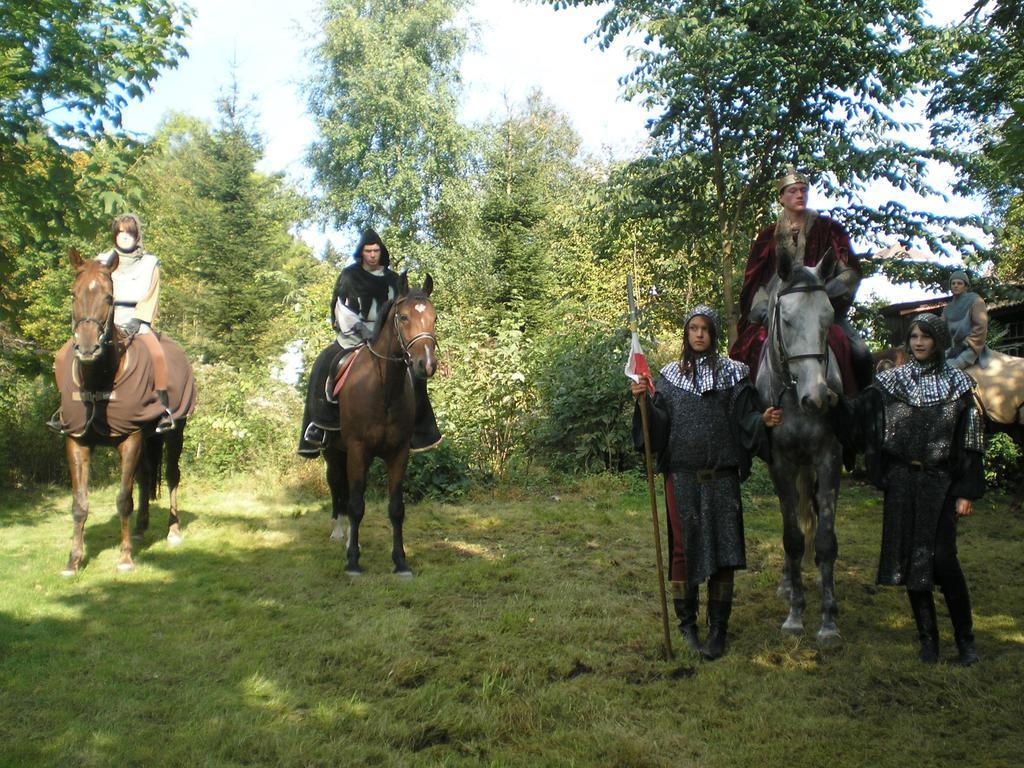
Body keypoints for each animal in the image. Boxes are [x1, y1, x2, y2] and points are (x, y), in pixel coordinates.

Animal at [58, 252, 191, 577]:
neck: (100, 381)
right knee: (145, 478)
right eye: (73, 294)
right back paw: (141, 528)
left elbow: (122, 499)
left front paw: (126, 557)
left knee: (172, 475)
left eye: (109, 296)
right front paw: (73, 560)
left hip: (175, 433)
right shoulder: (76, 442)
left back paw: (173, 530)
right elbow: (79, 504)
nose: (87, 347)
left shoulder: (130, 439)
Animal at [323, 274, 436, 573]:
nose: (426, 364)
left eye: (434, 317)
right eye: (404, 317)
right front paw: (352, 561)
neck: (383, 388)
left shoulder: (398, 452)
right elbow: (356, 505)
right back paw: (339, 532)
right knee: (336, 486)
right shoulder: (357, 449)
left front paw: (400, 561)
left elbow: (396, 508)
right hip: (333, 452)